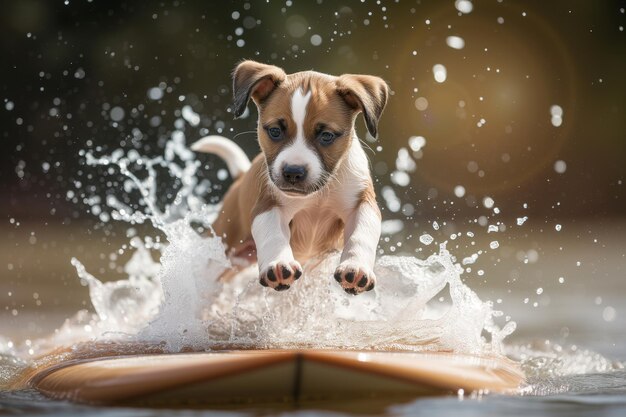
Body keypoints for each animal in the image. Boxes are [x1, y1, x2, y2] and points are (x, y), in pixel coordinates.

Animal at [191, 61, 386, 296]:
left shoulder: (361, 203)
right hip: (225, 243)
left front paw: (356, 267)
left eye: (326, 136)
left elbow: (362, 233)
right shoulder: (268, 204)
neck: (318, 195)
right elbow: (273, 234)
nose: (293, 171)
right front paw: (278, 264)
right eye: (275, 131)